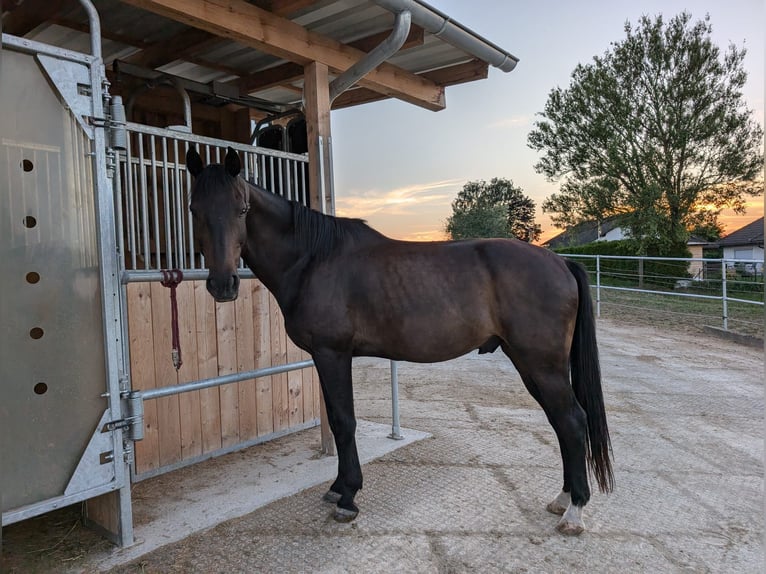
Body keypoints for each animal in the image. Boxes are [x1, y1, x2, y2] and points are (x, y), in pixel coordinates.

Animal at [185, 146, 613, 535]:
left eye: (242, 210)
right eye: (194, 210)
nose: (223, 286)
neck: (313, 259)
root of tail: (560, 262)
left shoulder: (333, 354)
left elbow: (344, 421)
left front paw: (347, 497)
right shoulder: (326, 358)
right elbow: (338, 420)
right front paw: (338, 487)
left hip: (542, 364)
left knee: (572, 420)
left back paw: (574, 510)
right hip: (531, 364)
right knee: (561, 422)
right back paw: (562, 498)